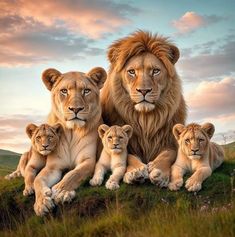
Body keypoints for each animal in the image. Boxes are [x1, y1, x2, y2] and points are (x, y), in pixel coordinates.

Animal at [33, 66, 106, 217]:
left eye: (86, 91)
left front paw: (61, 191)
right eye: (64, 91)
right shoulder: (53, 166)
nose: (76, 109)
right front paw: (42, 203)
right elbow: (37, 180)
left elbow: (73, 174)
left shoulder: (88, 161)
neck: (72, 132)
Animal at [102, 30, 186, 186]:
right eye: (132, 72)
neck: (145, 119)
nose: (144, 90)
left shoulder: (171, 142)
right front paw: (135, 172)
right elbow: (129, 156)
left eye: (155, 71)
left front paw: (159, 172)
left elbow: (168, 154)